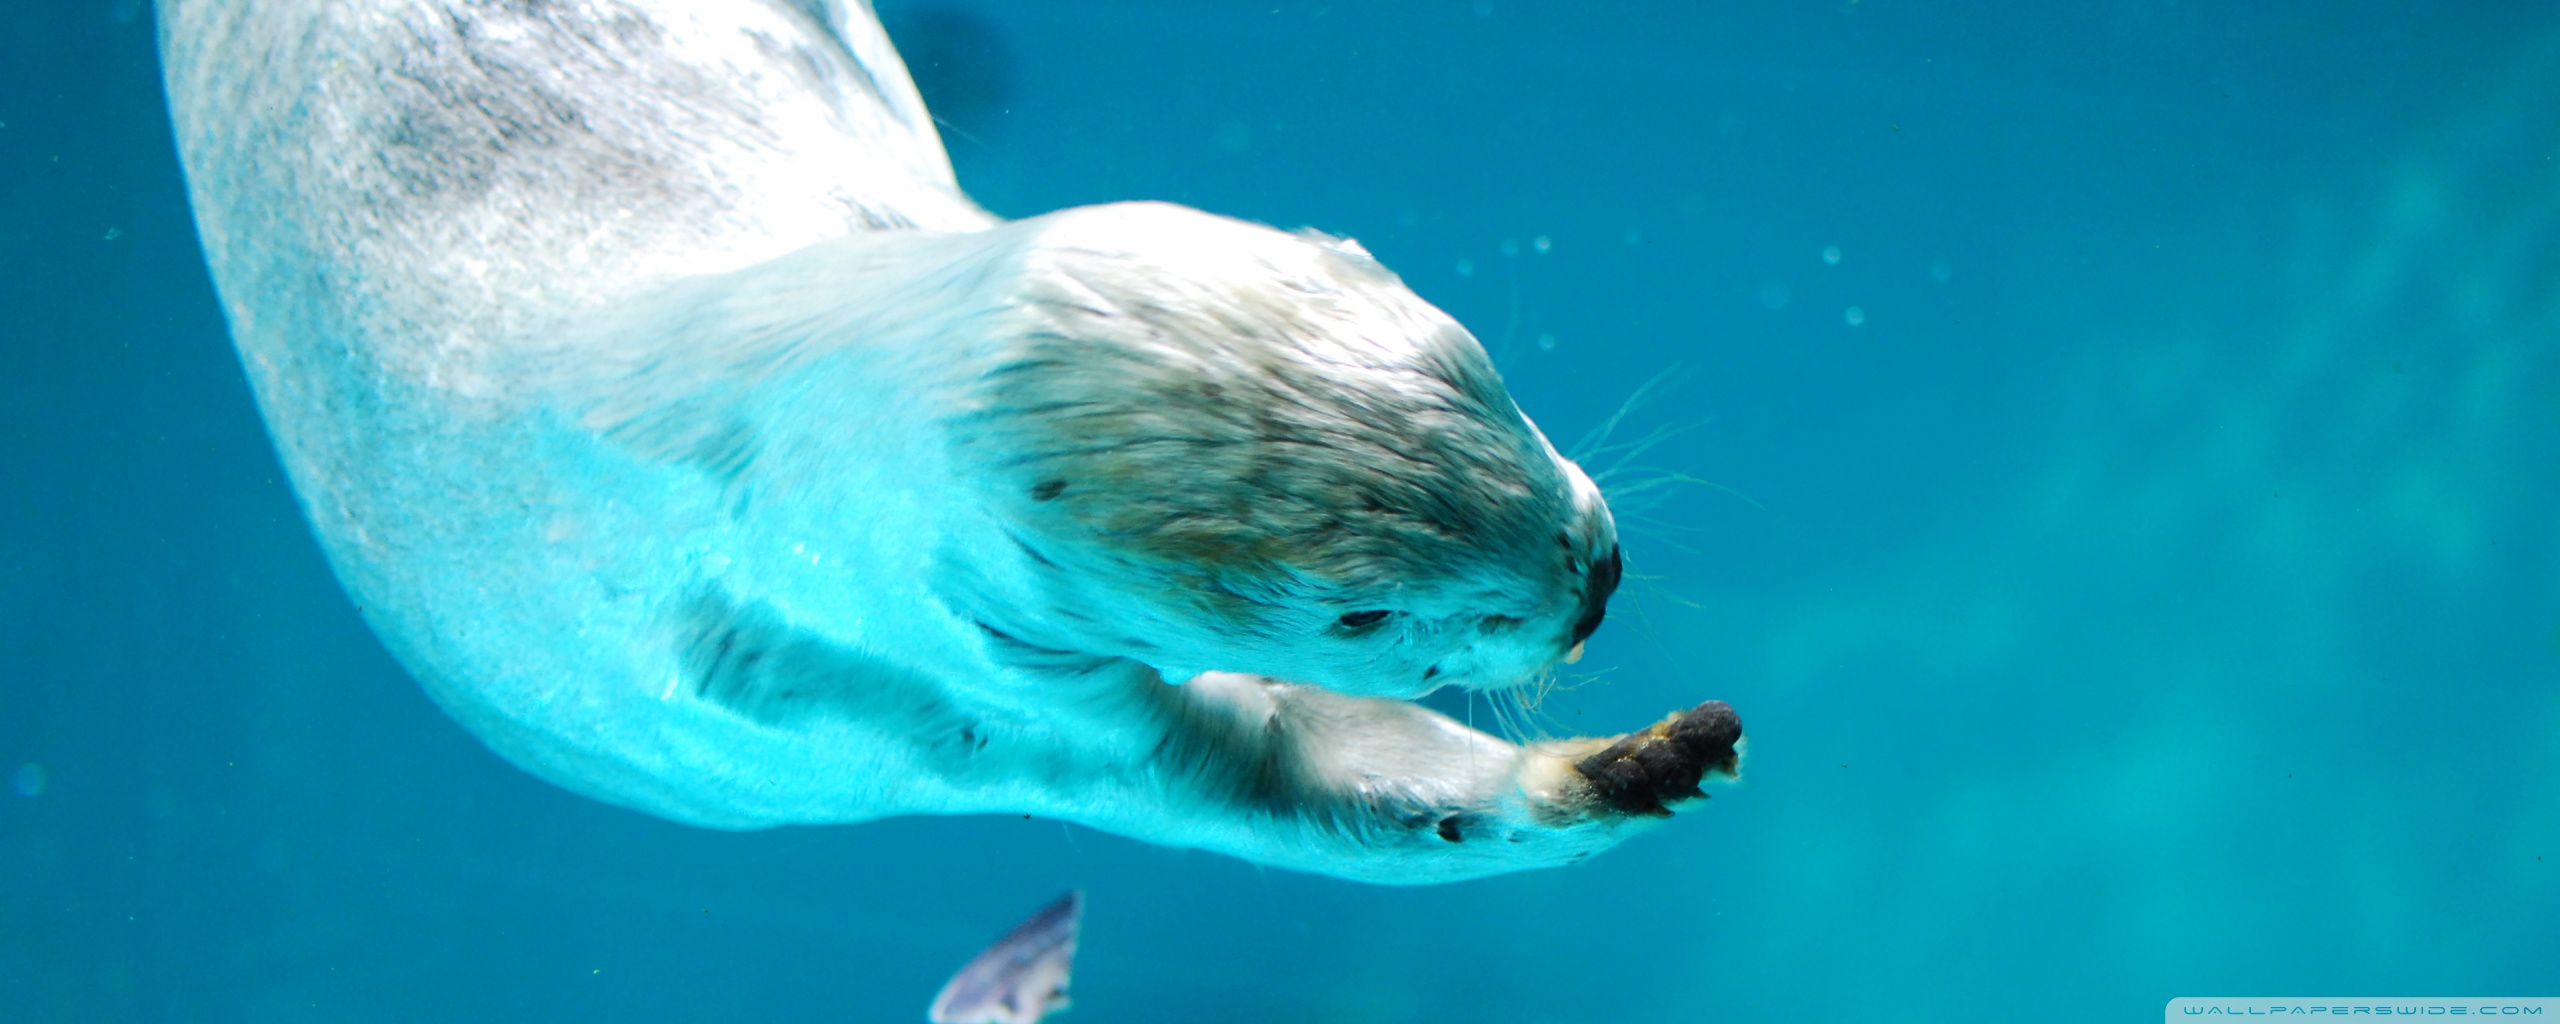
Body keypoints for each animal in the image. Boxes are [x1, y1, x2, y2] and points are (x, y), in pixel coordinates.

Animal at [158, 0, 1740, 883]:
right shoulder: (914, 680)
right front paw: (1627, 768)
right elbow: (1275, 788)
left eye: (1474, 363)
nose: (1594, 576)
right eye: (1359, 614)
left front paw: (1649, 756)